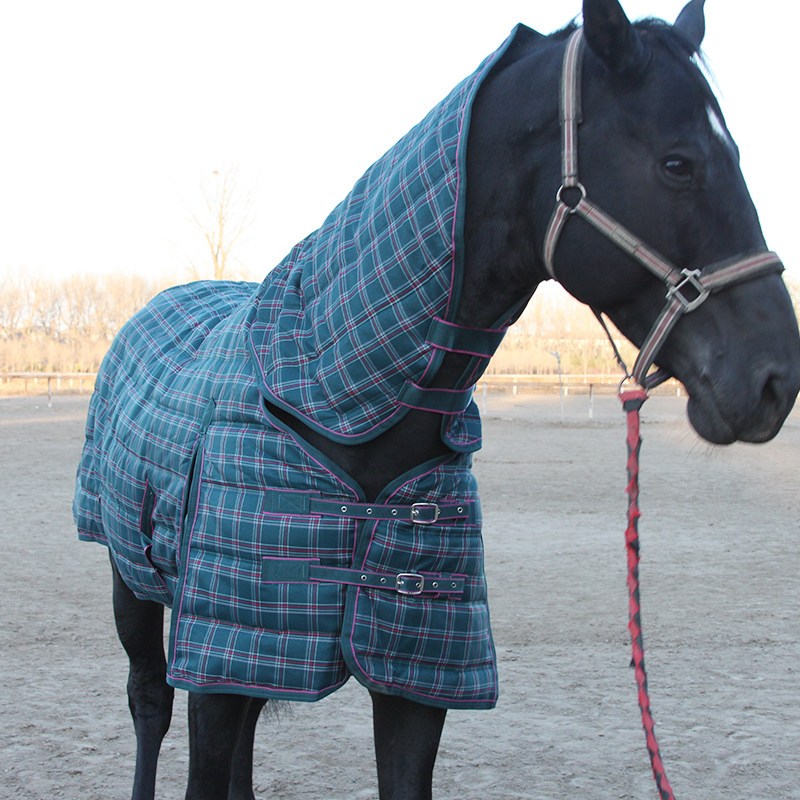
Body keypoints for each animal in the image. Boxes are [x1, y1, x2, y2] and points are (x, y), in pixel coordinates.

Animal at [73, 1, 800, 798]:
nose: (775, 379)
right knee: (149, 702)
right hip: (134, 584)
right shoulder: (219, 660)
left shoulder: (411, 674)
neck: (334, 406)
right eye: (678, 162)